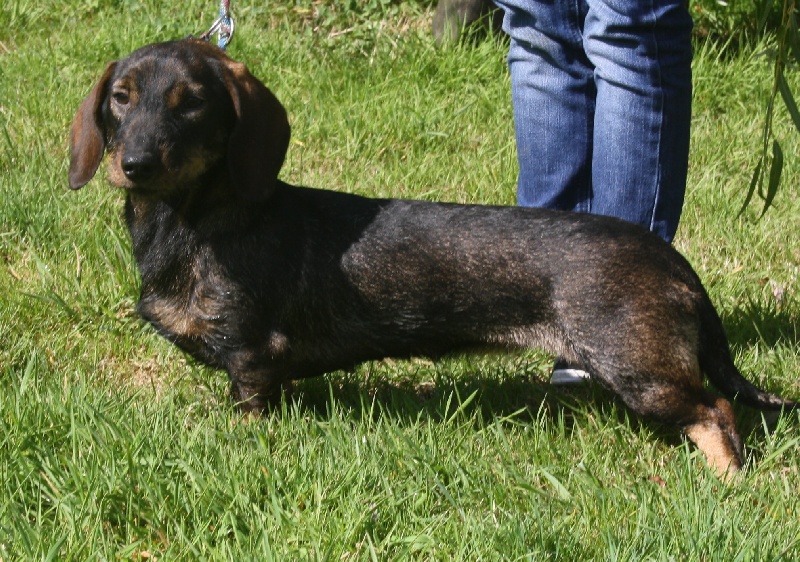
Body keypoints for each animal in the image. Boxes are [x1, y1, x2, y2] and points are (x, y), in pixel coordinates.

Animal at [69, 39, 792, 472]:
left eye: (191, 103)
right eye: (121, 97)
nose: (136, 165)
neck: (195, 222)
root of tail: (670, 259)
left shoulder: (253, 355)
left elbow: (249, 406)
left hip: (640, 370)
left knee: (716, 412)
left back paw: (728, 480)